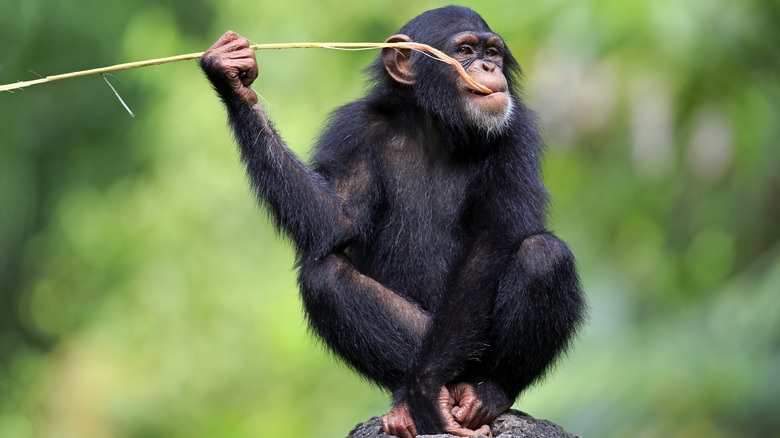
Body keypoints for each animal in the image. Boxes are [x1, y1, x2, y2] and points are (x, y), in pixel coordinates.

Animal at [201, 6, 584, 438]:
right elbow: (339, 221)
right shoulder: (353, 129)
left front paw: (427, 386)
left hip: (470, 357)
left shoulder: (515, 135)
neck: (436, 125)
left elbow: (492, 242)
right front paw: (233, 75)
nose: (488, 66)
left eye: (493, 52)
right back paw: (405, 404)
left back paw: (487, 393)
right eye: (465, 51)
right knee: (325, 277)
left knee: (544, 254)